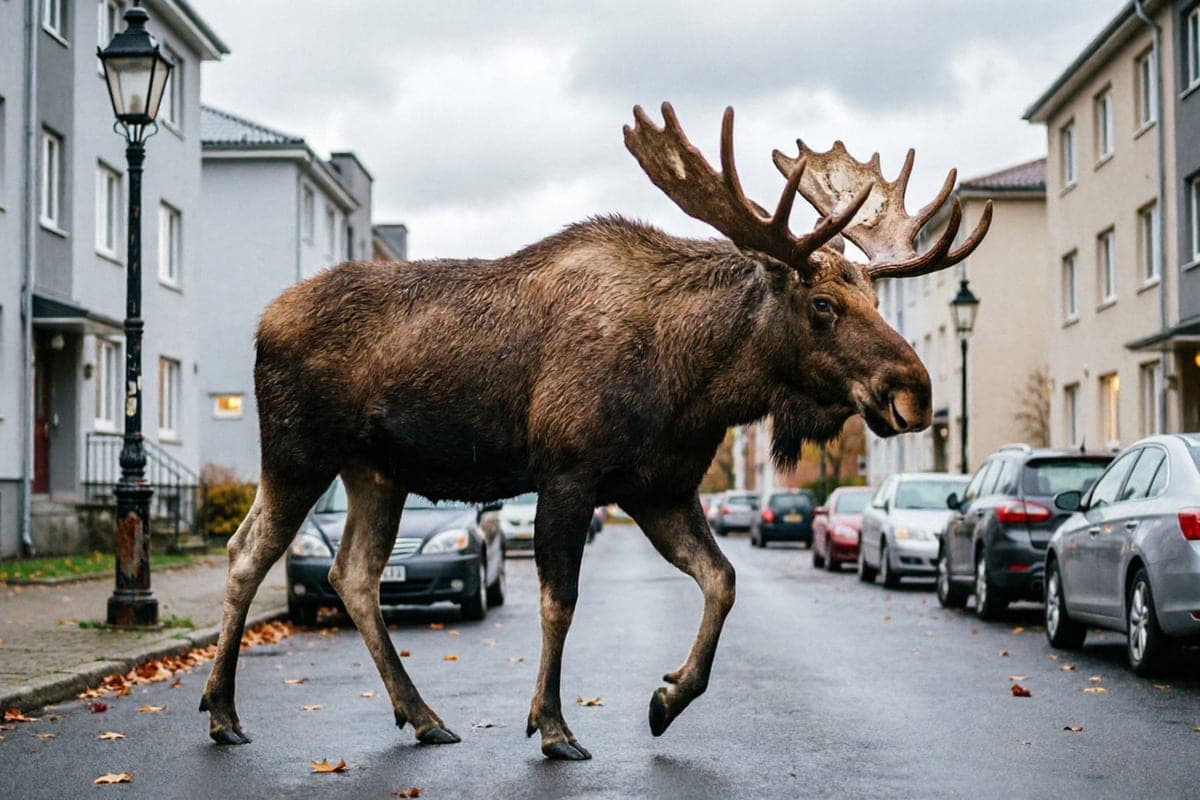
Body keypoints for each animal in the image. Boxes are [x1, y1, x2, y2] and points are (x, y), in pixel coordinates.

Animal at [199, 102, 991, 760]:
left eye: (875, 298)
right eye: (824, 304)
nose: (916, 392)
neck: (695, 385)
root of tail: (262, 324)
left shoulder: (659, 489)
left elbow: (723, 579)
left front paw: (668, 698)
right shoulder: (569, 471)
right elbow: (561, 601)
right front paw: (553, 726)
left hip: (377, 472)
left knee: (353, 574)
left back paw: (422, 716)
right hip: (299, 450)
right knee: (246, 553)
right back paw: (224, 713)